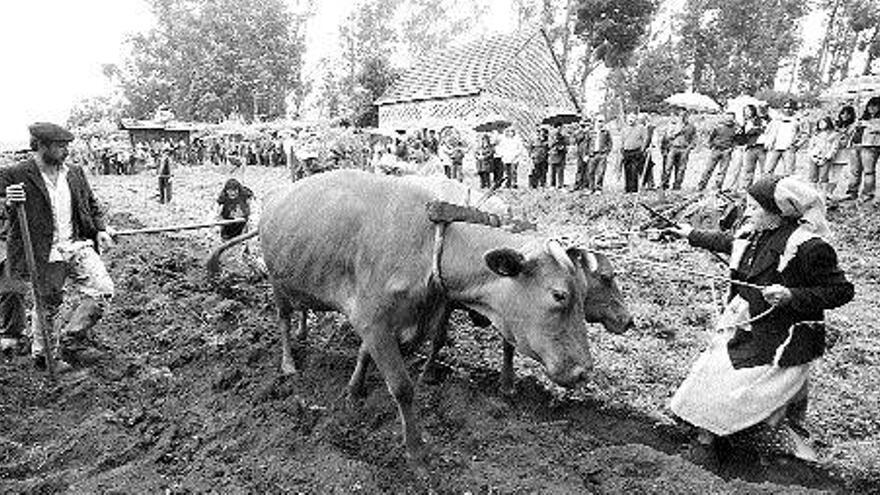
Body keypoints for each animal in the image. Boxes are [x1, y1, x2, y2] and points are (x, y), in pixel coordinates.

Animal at [227, 170, 596, 462]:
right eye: (559, 295)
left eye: (583, 292)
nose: (584, 371)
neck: (430, 244)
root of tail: (277, 195)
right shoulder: (373, 320)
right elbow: (402, 387)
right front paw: (416, 451)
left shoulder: (400, 321)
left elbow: (368, 354)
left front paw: (353, 391)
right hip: (277, 283)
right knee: (283, 319)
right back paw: (289, 361)